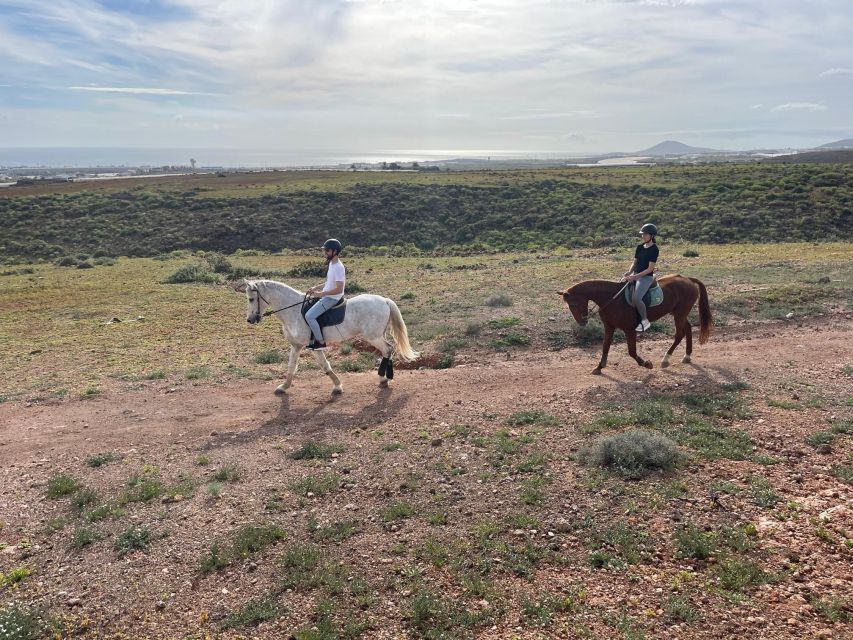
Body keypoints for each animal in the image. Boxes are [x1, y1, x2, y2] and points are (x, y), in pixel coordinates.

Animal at [241, 280, 418, 396]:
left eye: (251, 299)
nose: (250, 320)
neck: (293, 310)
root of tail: (385, 301)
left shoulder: (313, 346)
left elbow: (325, 366)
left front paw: (338, 387)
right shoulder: (296, 345)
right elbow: (291, 367)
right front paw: (284, 387)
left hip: (373, 337)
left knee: (388, 349)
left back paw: (383, 378)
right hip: (379, 335)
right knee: (389, 349)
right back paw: (387, 377)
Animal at [560, 276, 712, 376]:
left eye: (573, 303)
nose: (582, 322)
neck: (612, 299)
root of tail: (688, 279)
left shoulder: (629, 330)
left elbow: (631, 351)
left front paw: (646, 364)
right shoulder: (609, 327)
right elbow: (605, 347)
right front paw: (599, 367)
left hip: (680, 314)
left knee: (679, 334)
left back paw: (666, 359)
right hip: (678, 313)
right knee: (688, 328)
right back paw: (687, 356)